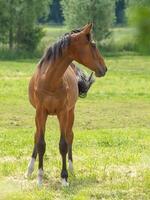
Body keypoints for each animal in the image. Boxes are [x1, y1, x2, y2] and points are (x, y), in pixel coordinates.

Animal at [25, 23, 107, 186]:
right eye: (93, 45)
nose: (104, 68)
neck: (50, 80)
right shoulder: (40, 112)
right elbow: (41, 143)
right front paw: (39, 178)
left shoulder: (62, 112)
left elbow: (63, 144)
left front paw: (64, 178)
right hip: (40, 116)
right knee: (37, 136)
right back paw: (29, 170)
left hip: (70, 113)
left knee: (70, 136)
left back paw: (71, 169)